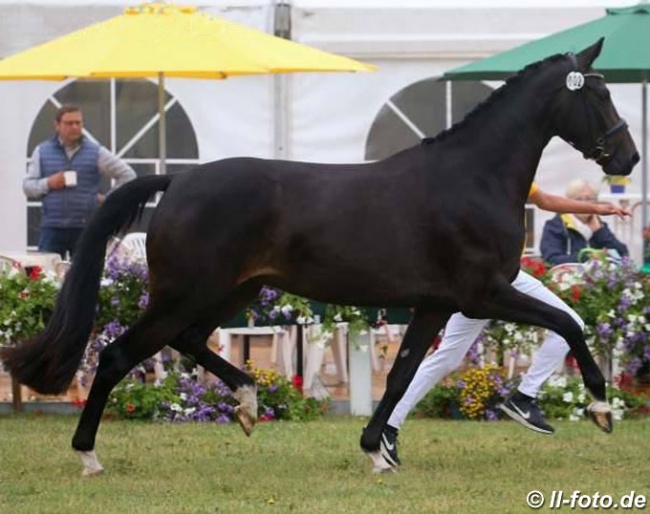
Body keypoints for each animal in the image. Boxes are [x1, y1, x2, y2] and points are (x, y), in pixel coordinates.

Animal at [1, 38, 636, 474]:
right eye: (600, 93)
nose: (627, 157)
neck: (472, 179)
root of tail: (177, 183)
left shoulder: (434, 304)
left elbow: (402, 374)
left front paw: (377, 452)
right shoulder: (484, 294)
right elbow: (567, 325)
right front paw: (601, 410)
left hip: (229, 291)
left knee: (188, 341)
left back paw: (249, 403)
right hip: (186, 292)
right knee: (117, 356)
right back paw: (90, 457)